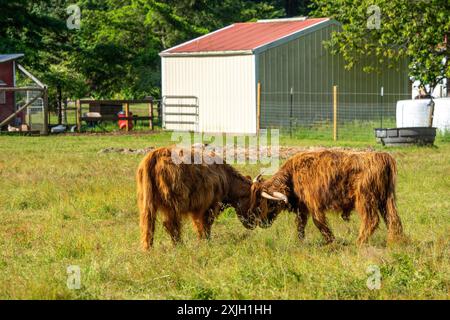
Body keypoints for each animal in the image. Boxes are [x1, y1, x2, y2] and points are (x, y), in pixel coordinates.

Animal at [250, 150, 404, 245]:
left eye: (269, 203)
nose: (262, 223)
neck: (293, 176)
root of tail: (382, 156)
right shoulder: (303, 207)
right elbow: (300, 224)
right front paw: (300, 241)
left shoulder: (314, 204)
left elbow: (319, 222)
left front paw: (331, 241)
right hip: (386, 200)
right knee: (393, 219)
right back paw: (394, 242)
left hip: (365, 198)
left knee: (371, 220)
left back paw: (359, 242)